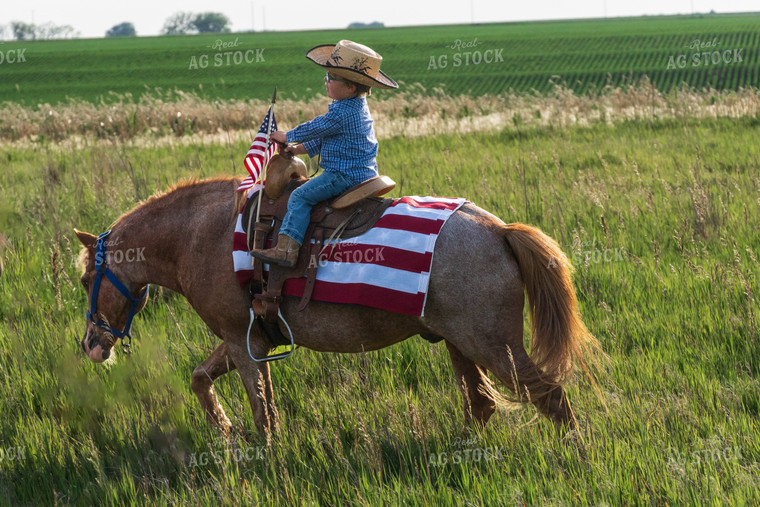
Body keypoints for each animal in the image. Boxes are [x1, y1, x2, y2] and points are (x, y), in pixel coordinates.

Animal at [75, 161, 600, 434]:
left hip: (494, 346)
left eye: (84, 282)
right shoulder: (248, 341)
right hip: (461, 345)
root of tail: (499, 230)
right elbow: (203, 381)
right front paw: (224, 433)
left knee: (551, 397)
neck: (203, 234)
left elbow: (263, 418)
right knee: (482, 405)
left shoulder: (242, 343)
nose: (91, 347)